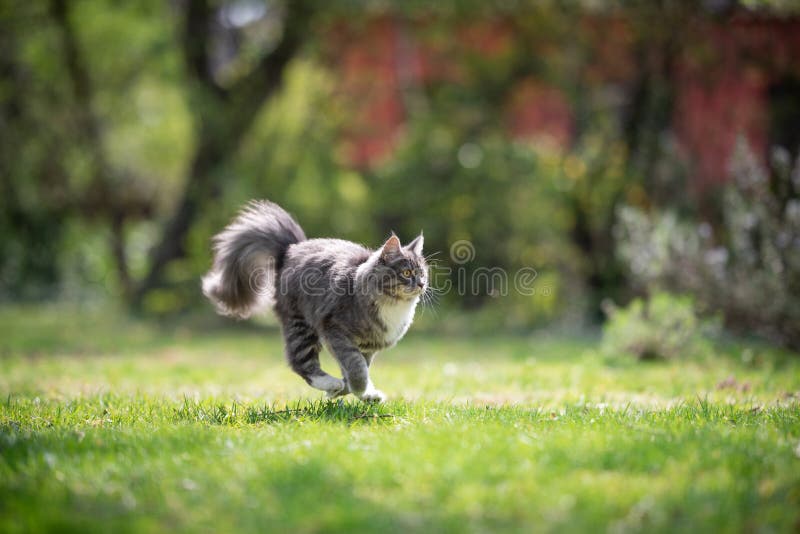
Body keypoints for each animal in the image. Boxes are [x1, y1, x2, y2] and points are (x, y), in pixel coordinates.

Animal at [202, 200, 424, 402]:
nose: (421, 284)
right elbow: (357, 368)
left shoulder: (367, 347)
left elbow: (357, 368)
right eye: (407, 273)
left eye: (423, 273)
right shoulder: (335, 330)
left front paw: (359, 393)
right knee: (300, 363)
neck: (394, 307)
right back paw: (331, 383)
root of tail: (290, 249)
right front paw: (356, 389)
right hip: (301, 326)